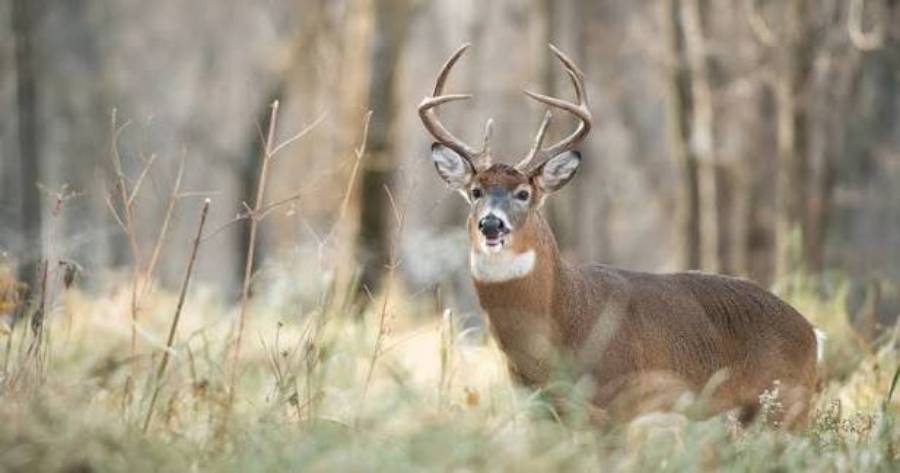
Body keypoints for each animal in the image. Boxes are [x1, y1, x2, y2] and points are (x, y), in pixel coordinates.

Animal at [418, 43, 823, 428]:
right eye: (476, 191)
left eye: (523, 194)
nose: (491, 224)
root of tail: (813, 333)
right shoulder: (539, 410)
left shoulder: (620, 401)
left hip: (785, 407)